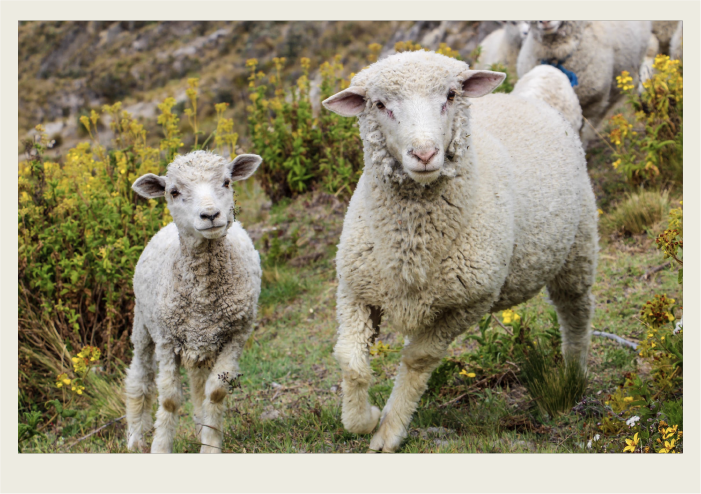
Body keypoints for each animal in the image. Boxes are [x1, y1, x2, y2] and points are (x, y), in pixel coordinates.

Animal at [124, 150, 263, 453]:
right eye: (173, 192)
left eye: (226, 182)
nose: (210, 215)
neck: (203, 297)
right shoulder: (166, 340)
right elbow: (169, 399)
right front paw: (160, 447)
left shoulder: (237, 334)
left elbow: (215, 392)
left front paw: (210, 445)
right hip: (143, 324)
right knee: (140, 377)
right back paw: (135, 437)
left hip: (203, 340)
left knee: (199, 385)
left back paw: (201, 426)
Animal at [323, 51, 598, 452]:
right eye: (380, 104)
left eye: (451, 95)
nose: (424, 153)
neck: (412, 245)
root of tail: (529, 96)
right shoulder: (357, 289)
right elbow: (350, 361)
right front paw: (365, 418)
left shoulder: (468, 304)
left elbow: (418, 359)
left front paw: (389, 429)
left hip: (578, 246)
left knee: (575, 312)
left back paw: (574, 374)